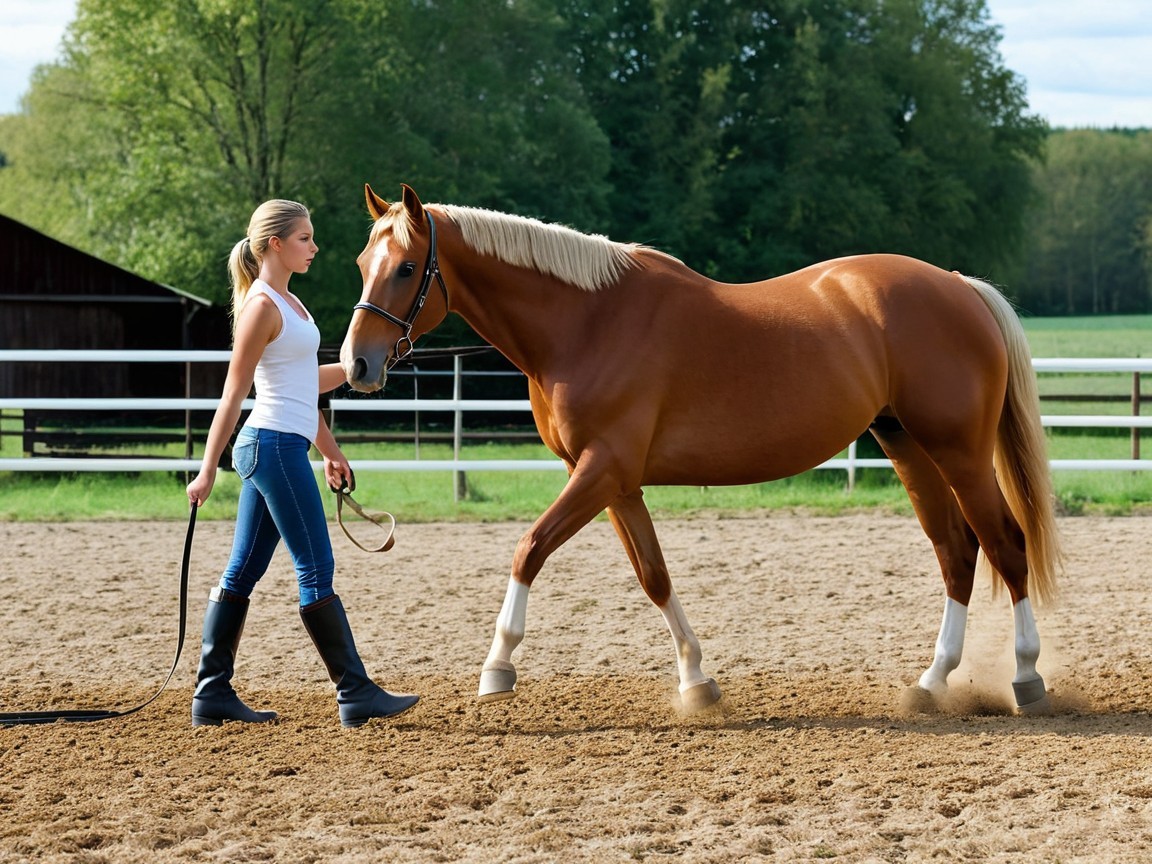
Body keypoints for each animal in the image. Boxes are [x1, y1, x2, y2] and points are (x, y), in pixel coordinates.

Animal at [340, 183, 1063, 715]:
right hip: (909, 446)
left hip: (959, 453)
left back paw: (1026, 679)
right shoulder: (614, 480)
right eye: (361, 266)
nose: (356, 365)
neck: (587, 322)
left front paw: (497, 666)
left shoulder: (601, 471)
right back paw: (932, 682)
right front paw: (696, 681)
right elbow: (653, 574)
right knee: (957, 553)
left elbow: (529, 549)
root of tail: (958, 285)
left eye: (407, 267)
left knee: (1005, 544)